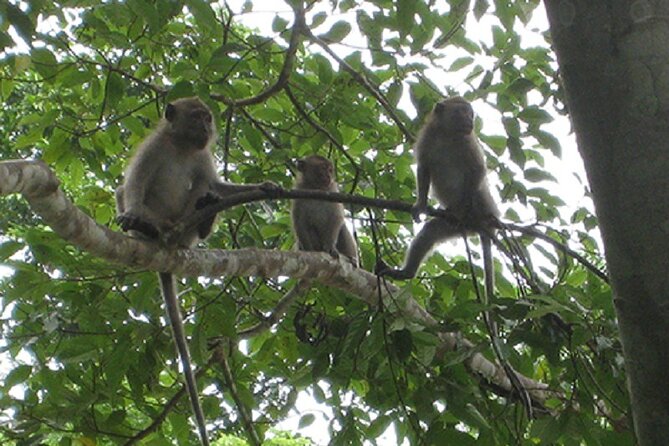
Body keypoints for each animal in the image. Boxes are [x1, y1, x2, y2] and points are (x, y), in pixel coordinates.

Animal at [115, 96, 276, 446]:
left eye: (207, 118)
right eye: (196, 117)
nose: (205, 127)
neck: (182, 147)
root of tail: (170, 240)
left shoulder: (201, 155)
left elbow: (217, 184)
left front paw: (262, 186)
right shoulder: (153, 147)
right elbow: (133, 185)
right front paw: (132, 214)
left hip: (185, 229)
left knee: (204, 188)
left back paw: (204, 217)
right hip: (158, 223)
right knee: (126, 194)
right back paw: (145, 228)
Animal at [376, 97, 499, 290]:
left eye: (470, 114)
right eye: (463, 112)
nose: (470, 120)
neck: (447, 134)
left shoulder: (468, 142)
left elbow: (477, 171)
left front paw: (460, 211)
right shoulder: (427, 137)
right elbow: (424, 168)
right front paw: (421, 204)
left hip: (481, 208)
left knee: (476, 192)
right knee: (431, 231)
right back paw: (405, 273)